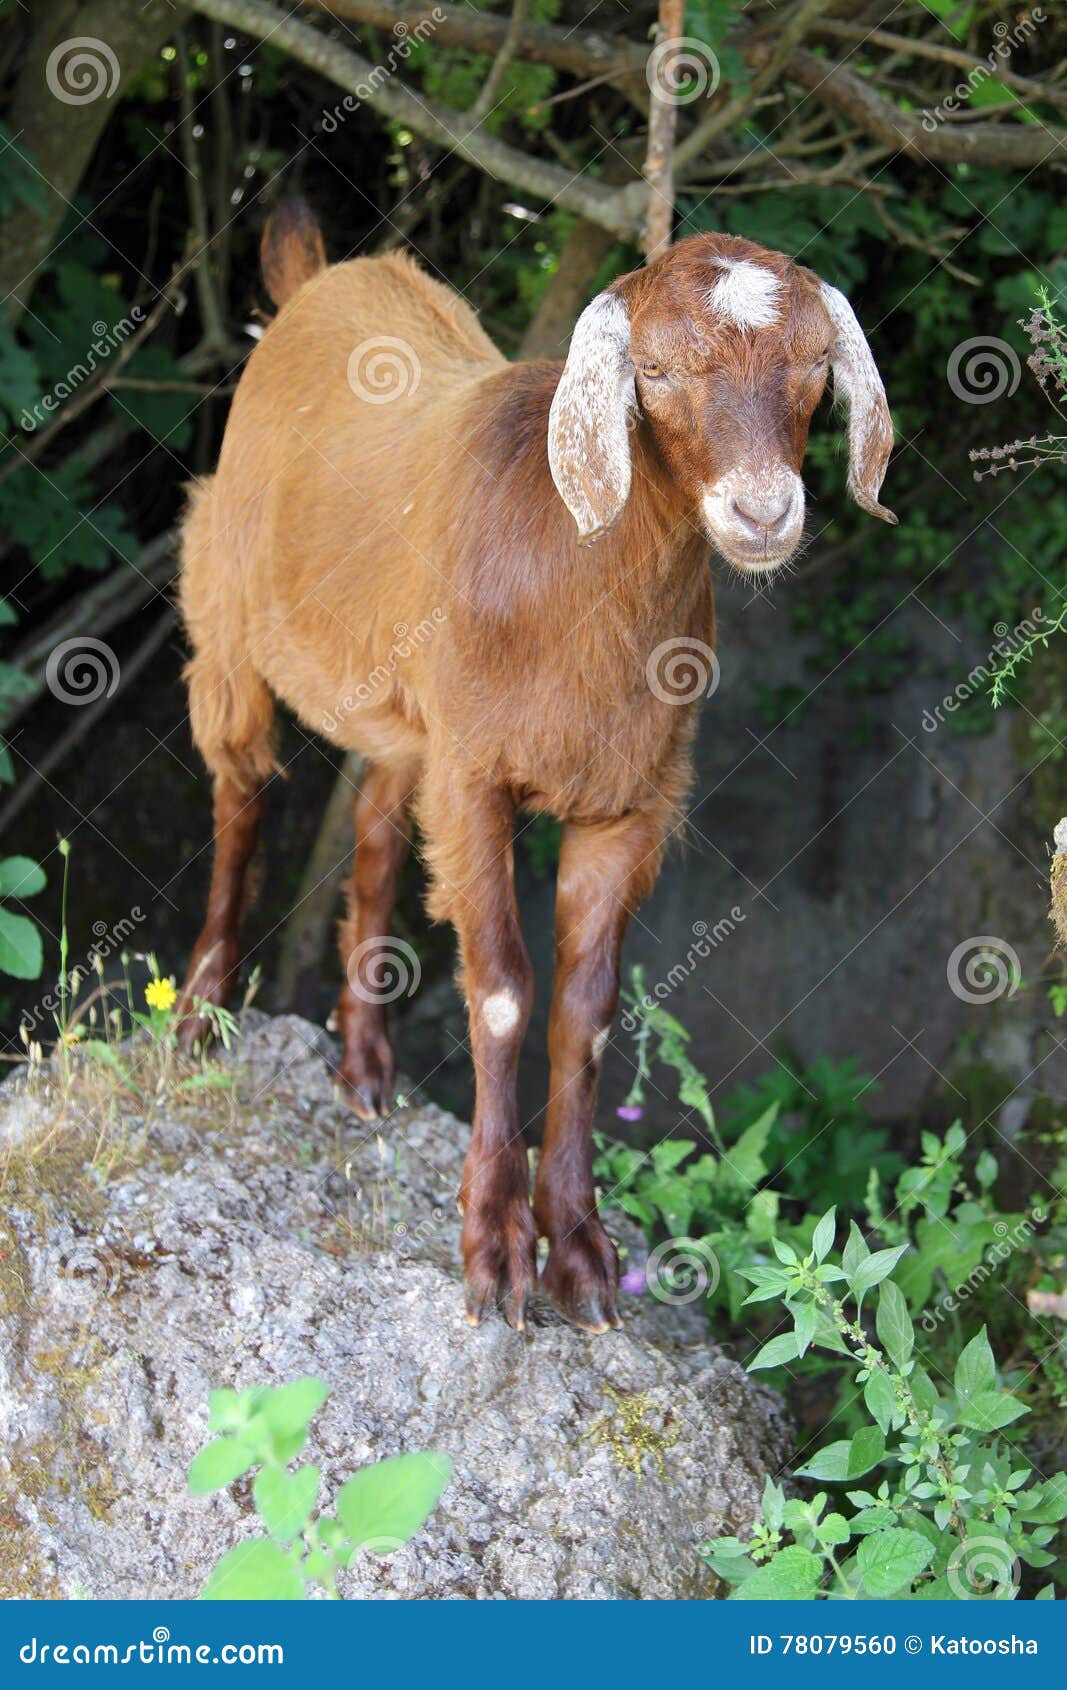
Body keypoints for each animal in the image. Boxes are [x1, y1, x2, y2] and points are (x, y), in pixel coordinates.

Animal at [178, 200, 895, 1334]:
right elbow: (505, 991)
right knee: (241, 789)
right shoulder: (476, 778)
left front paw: (582, 1254)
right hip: (229, 604)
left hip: (404, 715)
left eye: (818, 362)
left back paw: (364, 1065)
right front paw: (495, 1248)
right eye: (654, 370)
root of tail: (321, 278)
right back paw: (201, 1011)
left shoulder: (629, 798)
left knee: (374, 830)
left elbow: (585, 1011)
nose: (761, 514)